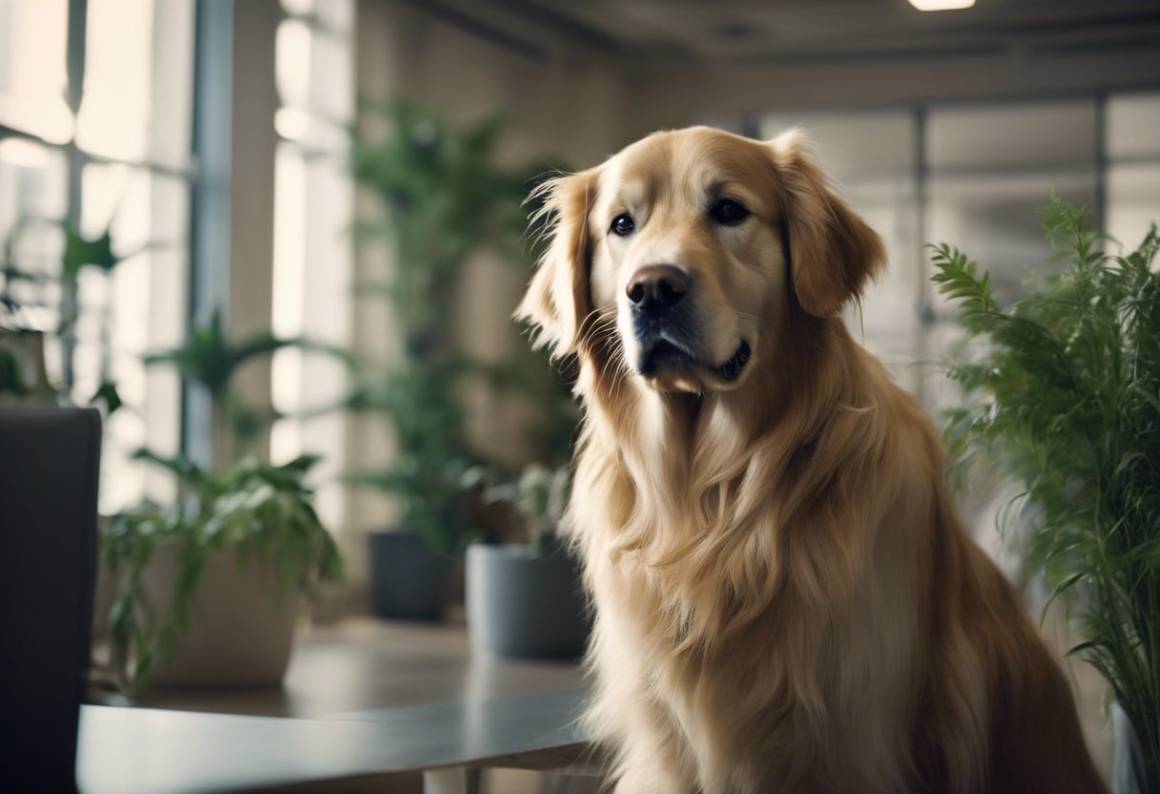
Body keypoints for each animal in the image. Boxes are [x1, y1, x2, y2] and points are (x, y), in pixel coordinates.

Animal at [519, 127, 1104, 789]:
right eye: (621, 224)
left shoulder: (849, 737)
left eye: (729, 210)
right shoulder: (662, 745)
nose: (652, 288)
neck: (713, 500)